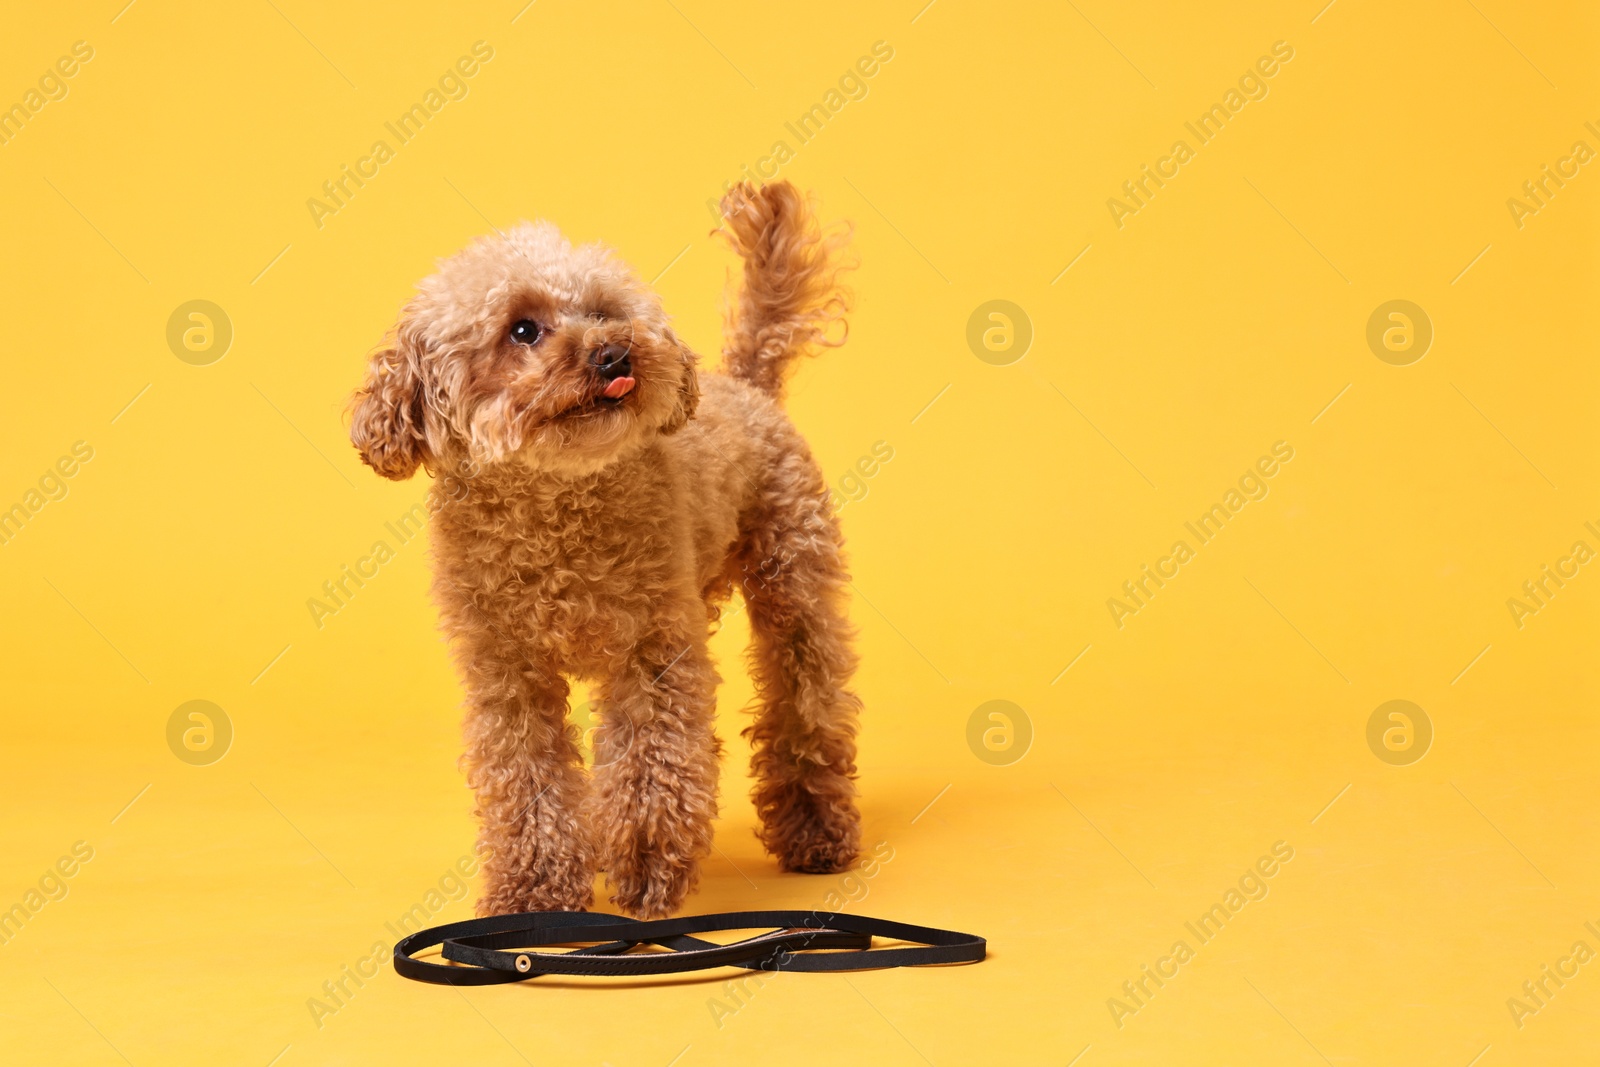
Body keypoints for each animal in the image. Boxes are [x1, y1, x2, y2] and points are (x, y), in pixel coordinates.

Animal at [350, 183, 864, 921]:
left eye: (603, 313)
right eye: (523, 330)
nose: (615, 354)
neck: (553, 505)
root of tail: (746, 387)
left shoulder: (651, 651)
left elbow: (652, 762)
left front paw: (647, 870)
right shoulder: (506, 671)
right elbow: (525, 777)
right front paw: (535, 889)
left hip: (793, 577)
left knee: (805, 696)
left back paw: (816, 832)